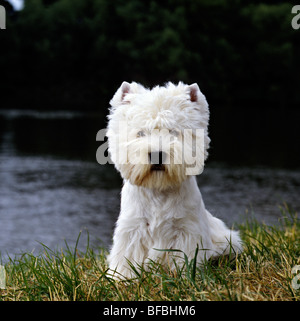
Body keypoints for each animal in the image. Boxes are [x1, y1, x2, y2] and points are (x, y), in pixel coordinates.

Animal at [106, 80, 243, 278]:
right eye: (140, 133)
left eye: (174, 132)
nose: (157, 154)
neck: (158, 189)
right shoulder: (132, 229)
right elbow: (126, 257)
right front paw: (121, 278)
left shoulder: (186, 229)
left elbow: (184, 258)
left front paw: (185, 277)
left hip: (227, 239)